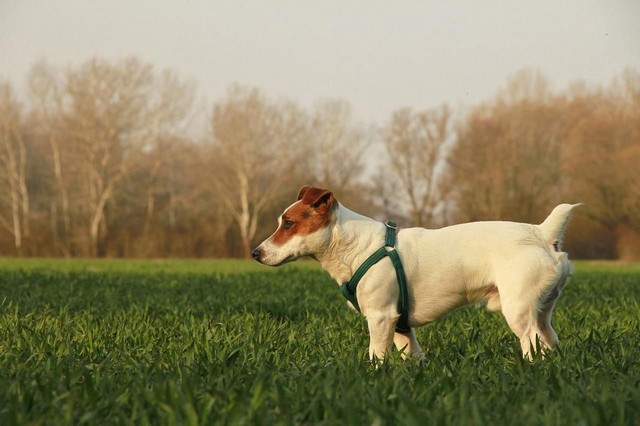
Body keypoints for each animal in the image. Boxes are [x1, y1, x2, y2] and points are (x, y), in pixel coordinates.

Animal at [252, 185, 576, 362]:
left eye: (288, 223)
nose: (255, 253)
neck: (356, 247)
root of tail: (541, 233)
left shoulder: (381, 317)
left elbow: (376, 356)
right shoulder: (400, 325)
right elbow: (414, 355)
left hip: (519, 312)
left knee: (532, 345)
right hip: (542, 311)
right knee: (550, 341)